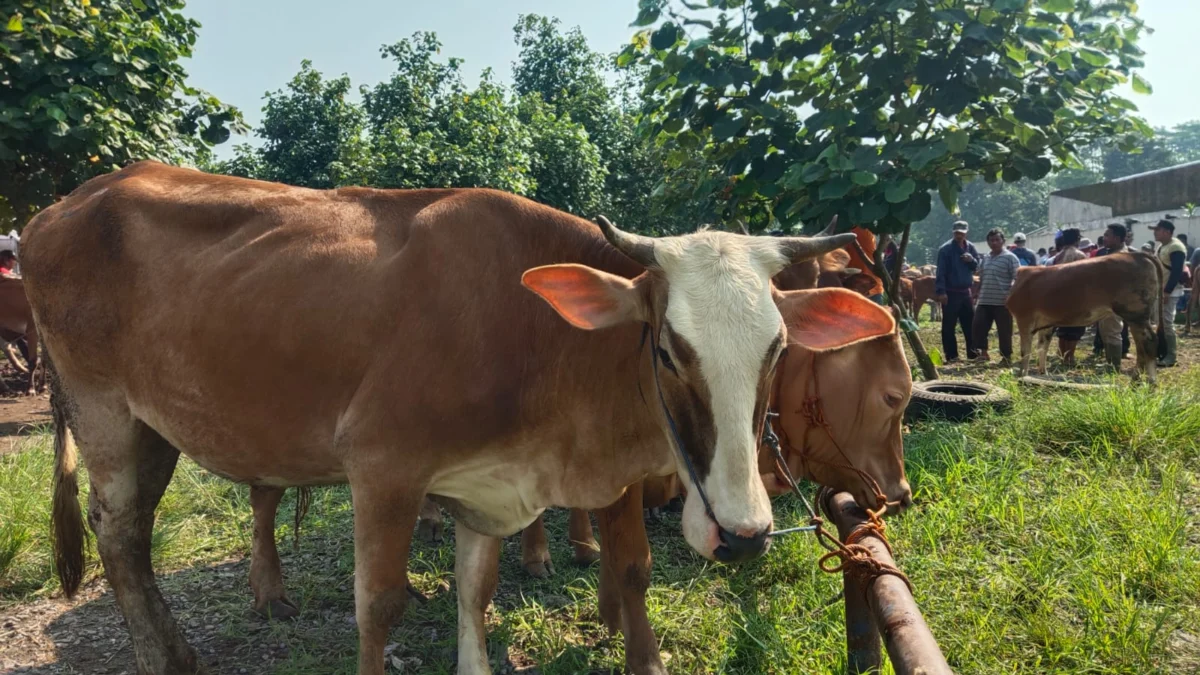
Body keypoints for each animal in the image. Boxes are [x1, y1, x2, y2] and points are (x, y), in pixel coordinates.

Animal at [25, 163, 864, 672]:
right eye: (665, 347)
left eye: (778, 347)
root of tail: (62, 204)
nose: (744, 532)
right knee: (121, 534)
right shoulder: (384, 466)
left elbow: (479, 587)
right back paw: (166, 655)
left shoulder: (486, 485)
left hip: (152, 425)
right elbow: (379, 604)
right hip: (105, 413)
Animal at [1003, 249, 1161, 381]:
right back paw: (1136, 380)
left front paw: (1022, 375)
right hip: (1135, 318)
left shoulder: (1024, 319)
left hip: (1135, 314)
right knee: (1141, 347)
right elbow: (1042, 348)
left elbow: (1025, 351)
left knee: (1149, 343)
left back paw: (1150, 382)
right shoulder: (1046, 324)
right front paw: (1043, 373)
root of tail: (1136, 254)